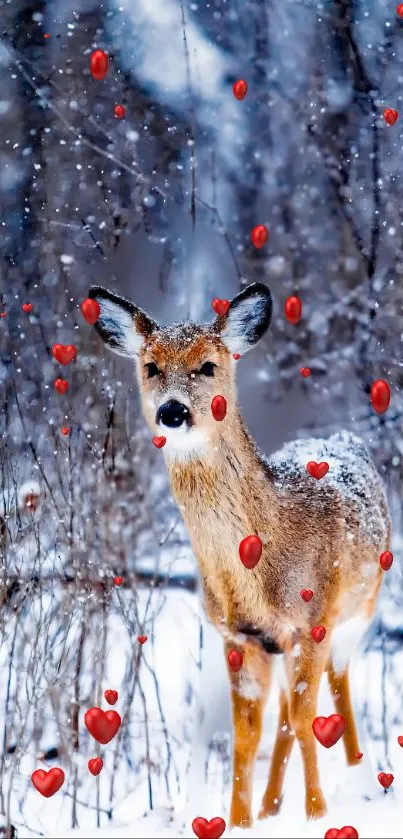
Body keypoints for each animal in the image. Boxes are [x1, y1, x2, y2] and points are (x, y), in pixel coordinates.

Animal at [87, 280, 392, 828]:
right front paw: (240, 822)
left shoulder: (314, 620)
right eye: (151, 366)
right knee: (287, 716)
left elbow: (306, 717)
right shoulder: (239, 636)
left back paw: (360, 777)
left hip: (360, 608)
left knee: (335, 687)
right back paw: (271, 806)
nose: (173, 412)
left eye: (209, 365)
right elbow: (247, 734)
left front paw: (317, 815)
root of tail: (341, 435)